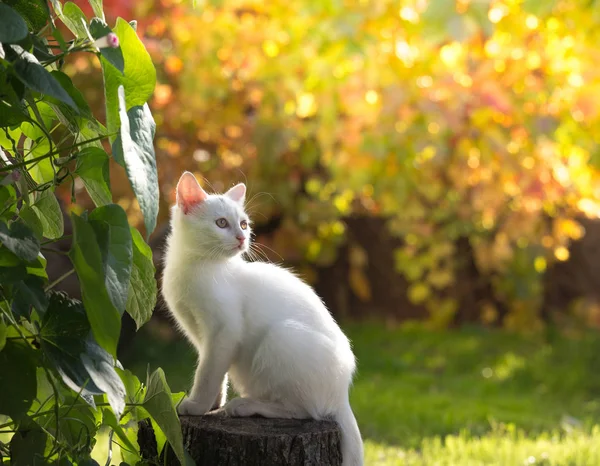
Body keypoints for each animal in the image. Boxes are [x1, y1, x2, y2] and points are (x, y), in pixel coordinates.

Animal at [162, 172, 364, 466]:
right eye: (221, 223)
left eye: (244, 224)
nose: (241, 238)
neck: (197, 266)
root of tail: (343, 394)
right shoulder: (202, 336)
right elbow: (214, 373)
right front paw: (212, 405)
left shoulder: (224, 331)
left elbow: (207, 373)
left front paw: (197, 406)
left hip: (282, 336)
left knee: (305, 411)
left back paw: (244, 406)